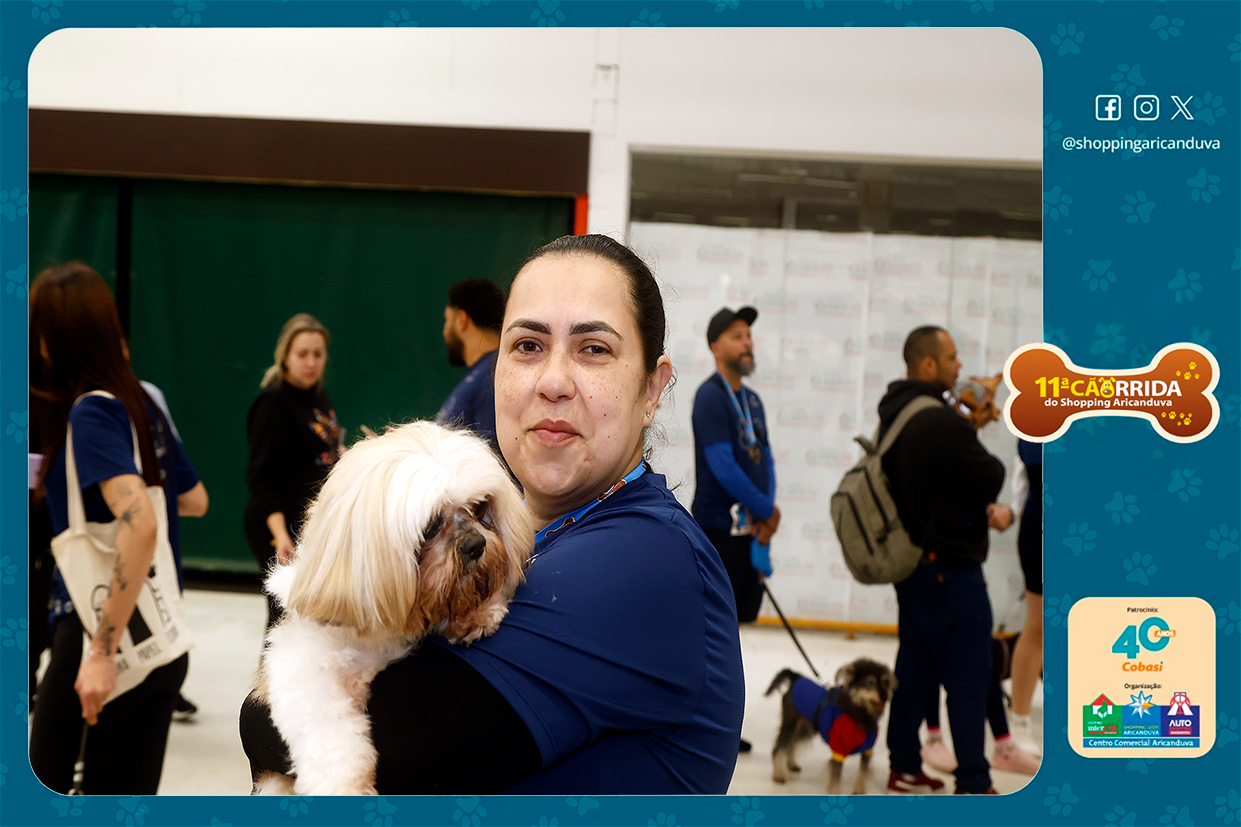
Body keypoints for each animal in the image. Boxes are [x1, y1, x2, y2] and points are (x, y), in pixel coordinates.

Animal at [248, 421, 533, 796]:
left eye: (479, 507)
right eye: (431, 526)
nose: (476, 544)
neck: (383, 632)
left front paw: (476, 614)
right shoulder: (303, 673)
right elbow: (332, 740)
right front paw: (345, 789)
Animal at [766, 659, 896, 795]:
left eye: (886, 682)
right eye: (870, 682)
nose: (885, 696)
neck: (857, 715)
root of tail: (796, 678)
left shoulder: (867, 750)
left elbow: (863, 772)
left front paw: (859, 790)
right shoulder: (838, 750)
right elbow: (835, 778)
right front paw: (835, 793)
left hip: (804, 727)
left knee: (792, 743)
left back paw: (791, 764)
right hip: (790, 724)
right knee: (779, 747)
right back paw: (778, 774)